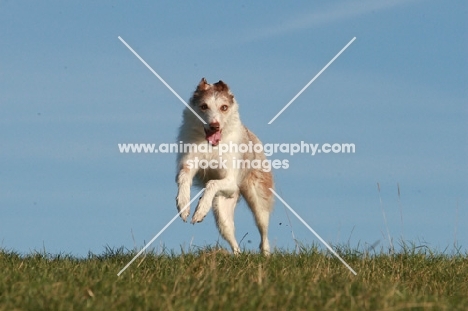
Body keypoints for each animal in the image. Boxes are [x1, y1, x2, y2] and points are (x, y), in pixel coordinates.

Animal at [176, 78, 274, 256]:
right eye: (204, 106)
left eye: (224, 107)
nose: (214, 125)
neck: (211, 145)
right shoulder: (188, 164)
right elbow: (184, 177)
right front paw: (183, 205)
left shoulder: (230, 181)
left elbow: (212, 183)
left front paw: (200, 209)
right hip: (222, 211)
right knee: (233, 239)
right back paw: (237, 256)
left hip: (258, 201)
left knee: (264, 232)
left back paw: (265, 255)